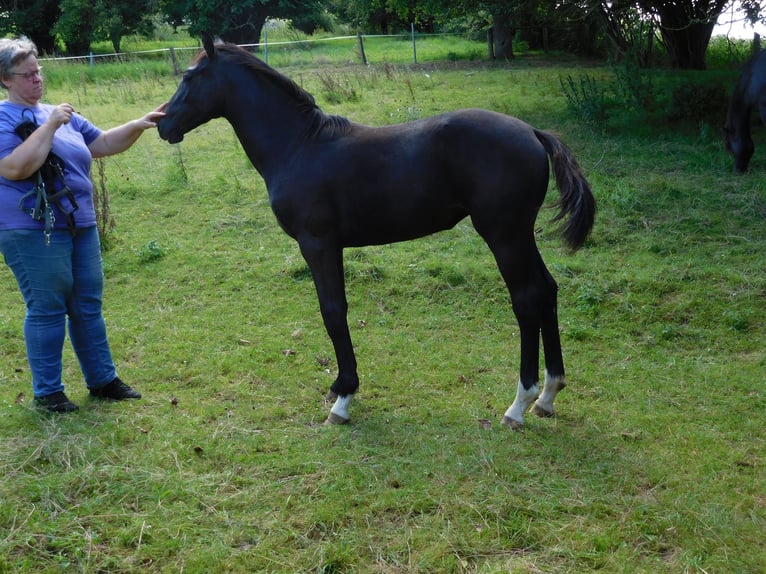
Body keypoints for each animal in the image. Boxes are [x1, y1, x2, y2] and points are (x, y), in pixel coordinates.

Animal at [159, 33, 596, 430]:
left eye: (190, 76)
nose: (163, 125)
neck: (299, 146)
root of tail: (533, 133)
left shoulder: (317, 244)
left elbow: (333, 311)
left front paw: (343, 396)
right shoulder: (331, 246)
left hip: (503, 235)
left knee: (526, 300)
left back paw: (519, 404)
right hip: (521, 235)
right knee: (547, 290)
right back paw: (547, 396)